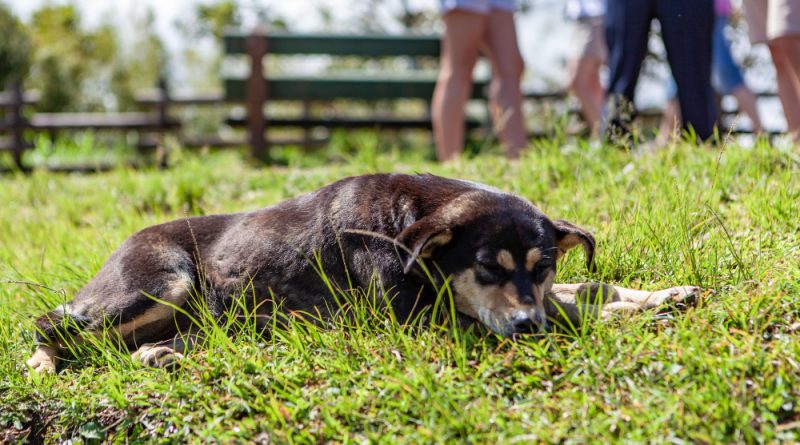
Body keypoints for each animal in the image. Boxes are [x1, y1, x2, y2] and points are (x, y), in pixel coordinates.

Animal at [26, 173, 700, 372]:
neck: (404, 222)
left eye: (545, 264)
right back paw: (45, 361)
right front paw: (623, 313)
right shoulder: (429, 320)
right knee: (52, 323)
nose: (526, 328)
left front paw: (664, 294)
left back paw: (164, 352)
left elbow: (587, 288)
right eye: (486, 266)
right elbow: (575, 312)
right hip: (162, 281)